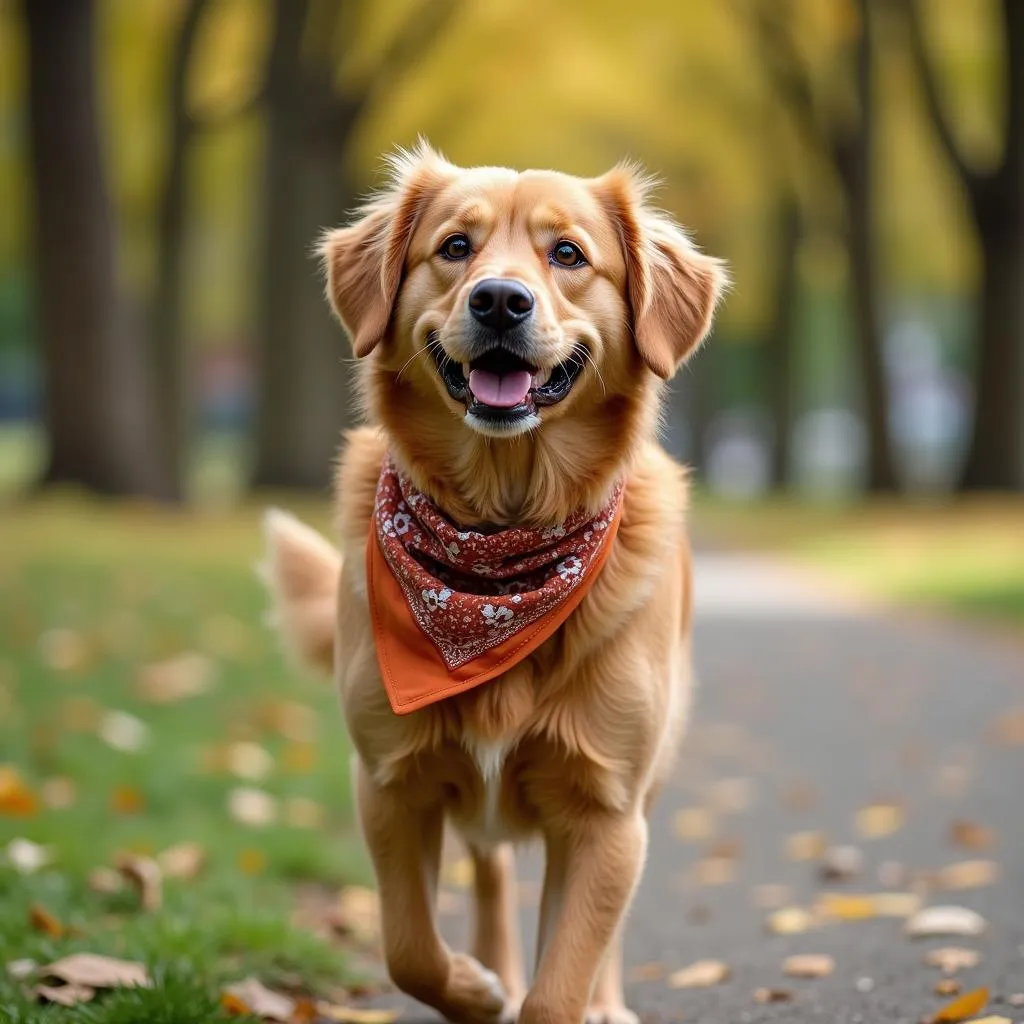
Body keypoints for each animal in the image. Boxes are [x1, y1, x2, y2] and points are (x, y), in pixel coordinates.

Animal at [264, 144, 729, 1024]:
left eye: (569, 254)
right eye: (454, 247)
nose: (501, 301)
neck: (499, 546)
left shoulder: (605, 811)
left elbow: (562, 984)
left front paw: (557, 998)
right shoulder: (390, 784)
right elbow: (409, 949)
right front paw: (476, 991)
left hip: (646, 785)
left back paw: (602, 1003)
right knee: (488, 872)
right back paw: (492, 968)